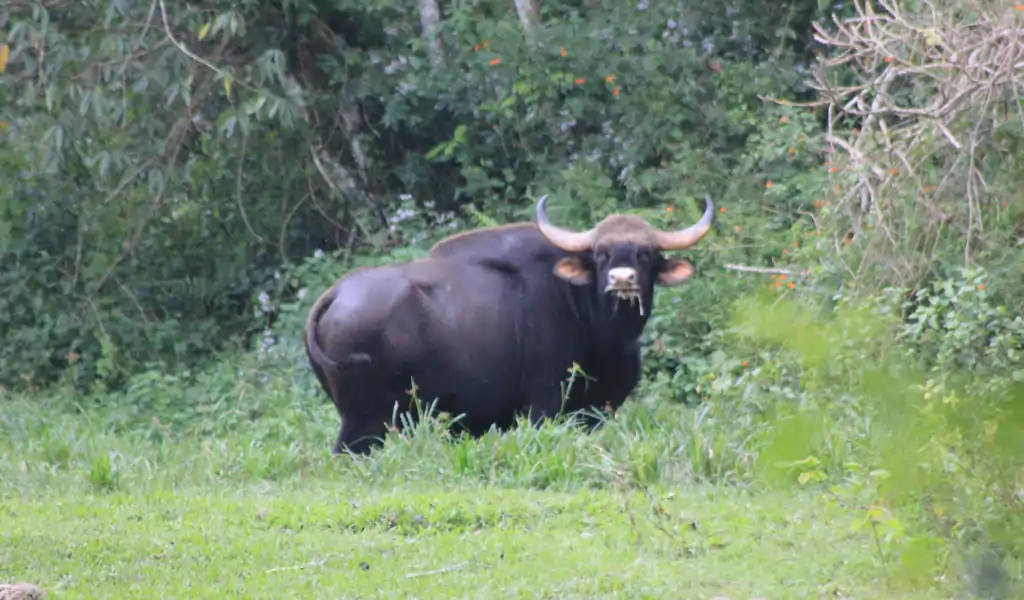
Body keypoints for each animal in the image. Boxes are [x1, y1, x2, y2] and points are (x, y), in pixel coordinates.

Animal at [304, 195, 714, 455]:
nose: (622, 278)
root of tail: (336, 293)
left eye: (646, 253)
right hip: (364, 421)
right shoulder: (544, 405)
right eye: (600, 254)